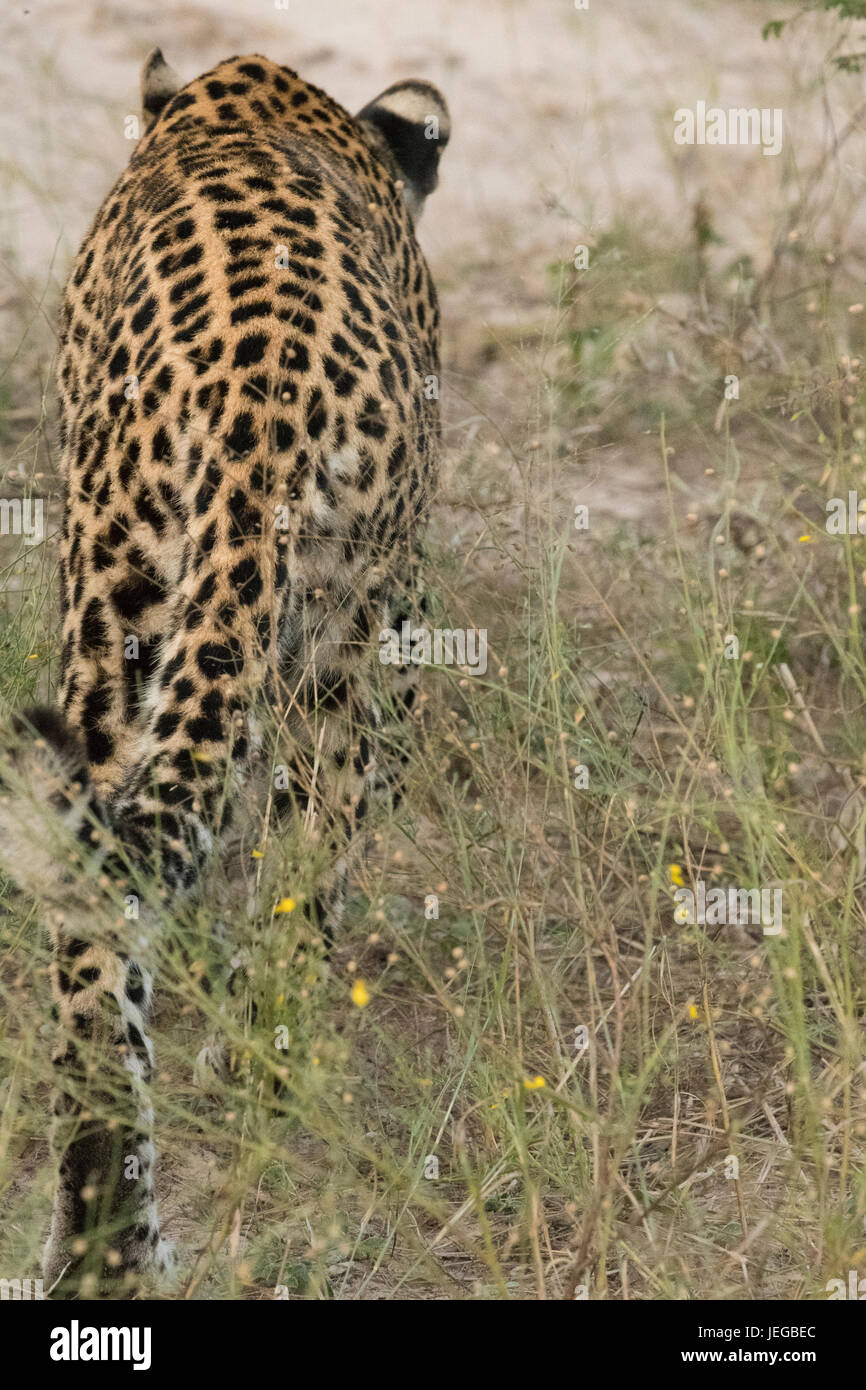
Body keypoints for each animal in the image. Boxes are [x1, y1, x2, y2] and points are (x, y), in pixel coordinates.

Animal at [0, 47, 449, 1297]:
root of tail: (260, 401)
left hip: (116, 634)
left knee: (95, 933)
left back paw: (103, 1242)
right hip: (323, 652)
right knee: (305, 850)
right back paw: (259, 1064)